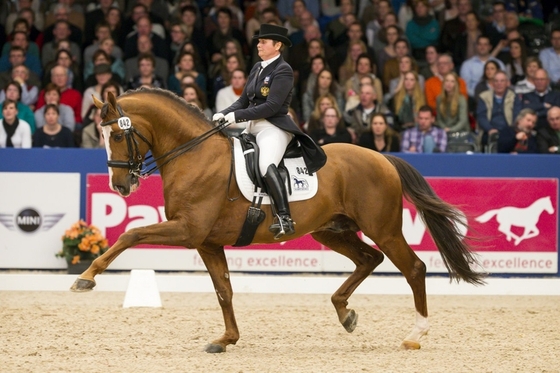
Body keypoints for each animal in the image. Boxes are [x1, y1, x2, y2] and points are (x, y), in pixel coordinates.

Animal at [71, 88, 486, 352]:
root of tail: (382, 157)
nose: (121, 185)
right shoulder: (207, 242)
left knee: (413, 267)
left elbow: (130, 234)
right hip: (331, 231)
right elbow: (224, 290)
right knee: (370, 259)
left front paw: (86, 277)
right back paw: (345, 312)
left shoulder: (188, 230)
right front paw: (227, 340)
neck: (194, 155)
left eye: (118, 136)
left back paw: (415, 334)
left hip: (382, 228)